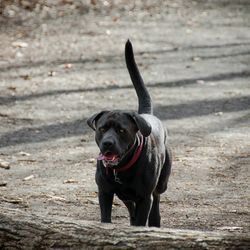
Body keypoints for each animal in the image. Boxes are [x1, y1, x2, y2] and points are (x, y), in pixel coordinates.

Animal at [87, 40, 171, 228]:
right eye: (102, 129)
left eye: (121, 130)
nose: (108, 143)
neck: (121, 169)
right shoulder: (104, 192)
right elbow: (106, 218)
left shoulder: (144, 198)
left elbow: (142, 218)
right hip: (124, 195)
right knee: (131, 206)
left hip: (162, 182)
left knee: (157, 197)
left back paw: (155, 222)